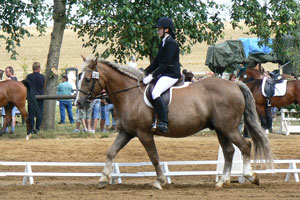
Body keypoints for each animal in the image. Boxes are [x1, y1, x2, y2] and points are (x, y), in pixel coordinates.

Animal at [76, 55, 274, 189]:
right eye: (79, 77)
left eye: (87, 79)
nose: (78, 103)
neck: (129, 94)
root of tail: (235, 84)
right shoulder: (127, 132)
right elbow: (111, 152)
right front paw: (103, 179)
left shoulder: (143, 133)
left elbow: (154, 157)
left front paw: (160, 181)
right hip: (220, 129)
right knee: (229, 151)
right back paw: (223, 181)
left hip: (228, 128)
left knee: (245, 146)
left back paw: (250, 176)